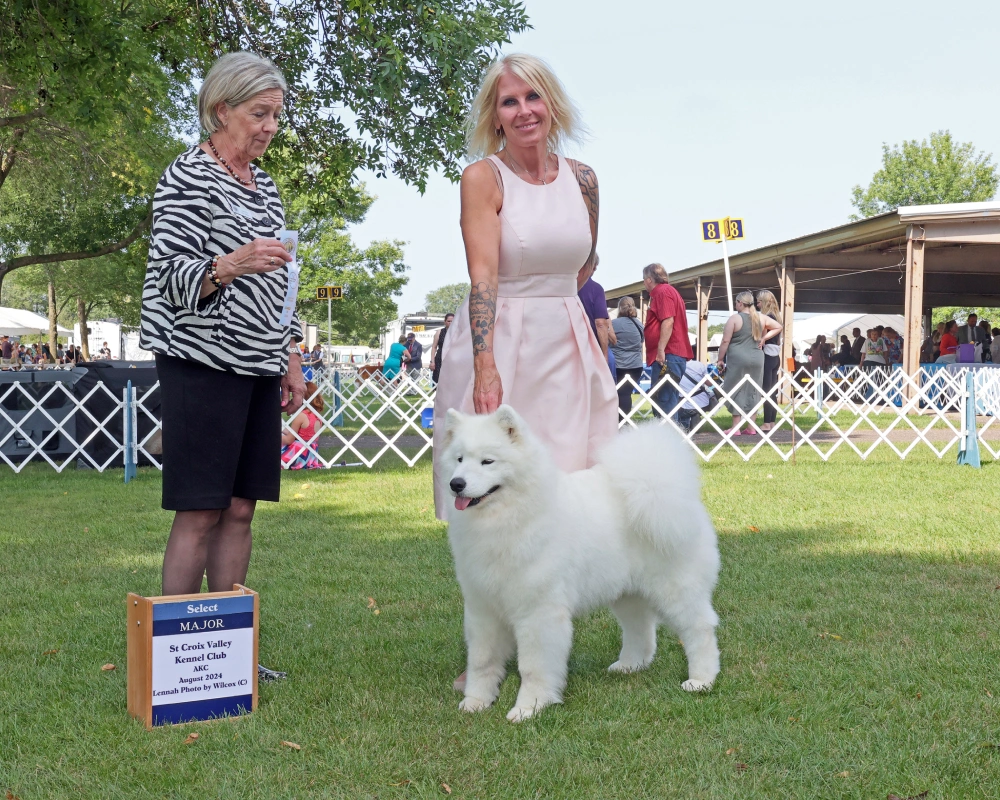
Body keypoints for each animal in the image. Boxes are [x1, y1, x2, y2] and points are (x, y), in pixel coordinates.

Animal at [444, 404, 720, 720]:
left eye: (487, 461)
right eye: (459, 459)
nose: (456, 483)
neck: (510, 517)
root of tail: (661, 486)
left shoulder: (539, 613)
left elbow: (533, 667)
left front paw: (529, 707)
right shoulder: (483, 608)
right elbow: (481, 660)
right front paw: (476, 702)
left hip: (676, 589)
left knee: (700, 630)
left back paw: (701, 680)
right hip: (627, 593)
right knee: (641, 629)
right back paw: (630, 665)